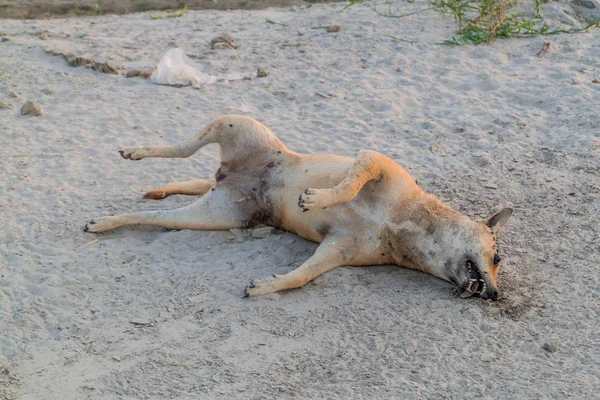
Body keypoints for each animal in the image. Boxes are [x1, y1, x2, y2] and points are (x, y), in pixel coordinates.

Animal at [84, 114, 510, 298]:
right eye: (498, 257)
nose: (495, 295)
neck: (408, 226)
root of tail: (229, 173)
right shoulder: (376, 162)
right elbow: (351, 182)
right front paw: (320, 197)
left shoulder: (336, 250)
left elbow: (302, 275)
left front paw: (269, 285)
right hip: (233, 123)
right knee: (182, 147)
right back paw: (137, 152)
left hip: (211, 215)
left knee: (157, 215)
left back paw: (113, 218)